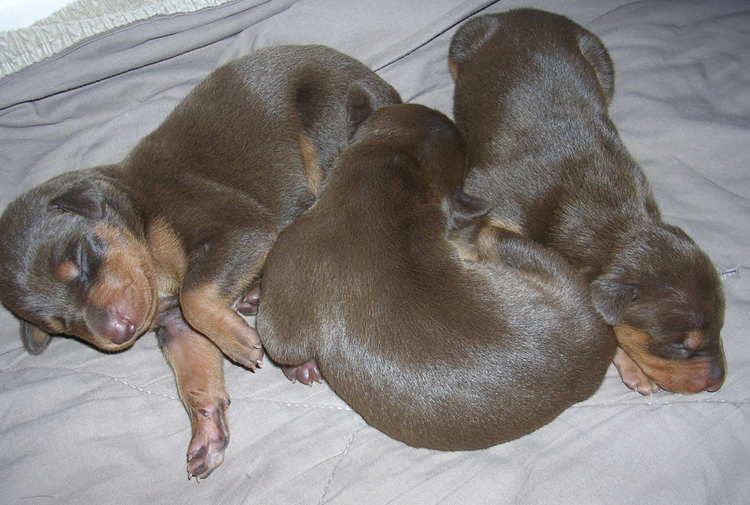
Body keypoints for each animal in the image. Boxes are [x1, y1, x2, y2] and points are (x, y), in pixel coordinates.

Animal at [0, 43, 402, 476]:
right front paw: (207, 432)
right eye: (60, 325)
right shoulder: (175, 325)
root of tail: (384, 87)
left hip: (326, 131)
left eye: (80, 260)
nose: (118, 333)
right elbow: (194, 377)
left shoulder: (239, 230)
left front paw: (241, 342)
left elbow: (195, 296)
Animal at [256, 102, 612, 448]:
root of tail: (601, 345)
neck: (387, 197)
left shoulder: (292, 255)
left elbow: (280, 341)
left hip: (504, 244)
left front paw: (299, 366)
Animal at [452, 8, 728, 394]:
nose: (719, 382)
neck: (613, 223)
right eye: (680, 345)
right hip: (464, 41)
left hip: (598, 57)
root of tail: (526, 12)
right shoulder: (488, 200)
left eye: (721, 325)